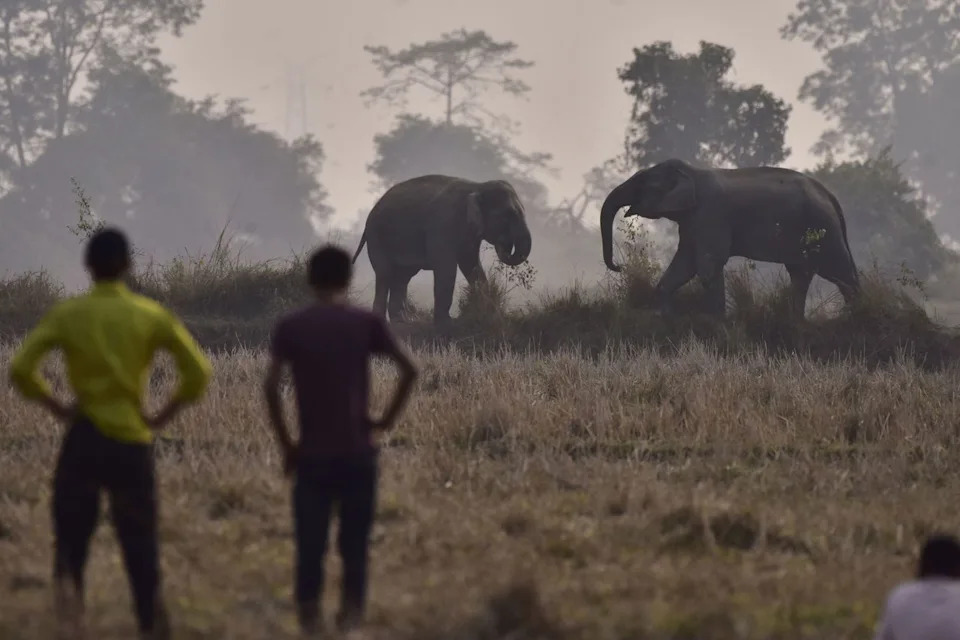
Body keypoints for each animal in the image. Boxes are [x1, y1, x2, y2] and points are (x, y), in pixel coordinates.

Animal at [352, 174, 532, 326]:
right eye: (507, 215)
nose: (504, 243)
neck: (477, 186)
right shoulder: (442, 224)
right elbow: (446, 268)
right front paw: (446, 323)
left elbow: (471, 264)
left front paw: (490, 314)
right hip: (376, 237)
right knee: (385, 274)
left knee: (402, 277)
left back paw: (402, 321)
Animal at [600, 158, 860, 316]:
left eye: (642, 184)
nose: (619, 266)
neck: (691, 172)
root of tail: (830, 196)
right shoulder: (693, 221)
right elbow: (684, 265)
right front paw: (663, 316)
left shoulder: (711, 214)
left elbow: (707, 266)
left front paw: (717, 323)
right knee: (800, 274)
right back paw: (797, 321)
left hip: (822, 228)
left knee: (839, 271)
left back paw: (855, 314)